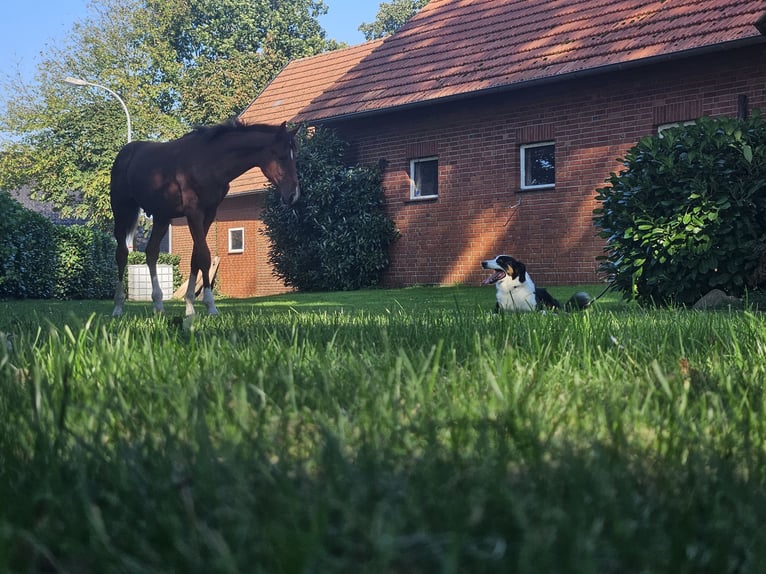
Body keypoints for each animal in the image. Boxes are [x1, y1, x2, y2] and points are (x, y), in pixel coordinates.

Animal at [110, 120, 300, 318]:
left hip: (162, 217)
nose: (293, 195)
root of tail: (125, 153)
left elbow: (196, 257)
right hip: (121, 211)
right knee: (122, 254)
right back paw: (118, 307)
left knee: (151, 252)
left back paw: (159, 305)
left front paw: (190, 306)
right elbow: (204, 255)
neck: (209, 162)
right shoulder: (194, 213)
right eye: (281, 156)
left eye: (294, 156)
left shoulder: (209, 214)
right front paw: (210, 306)